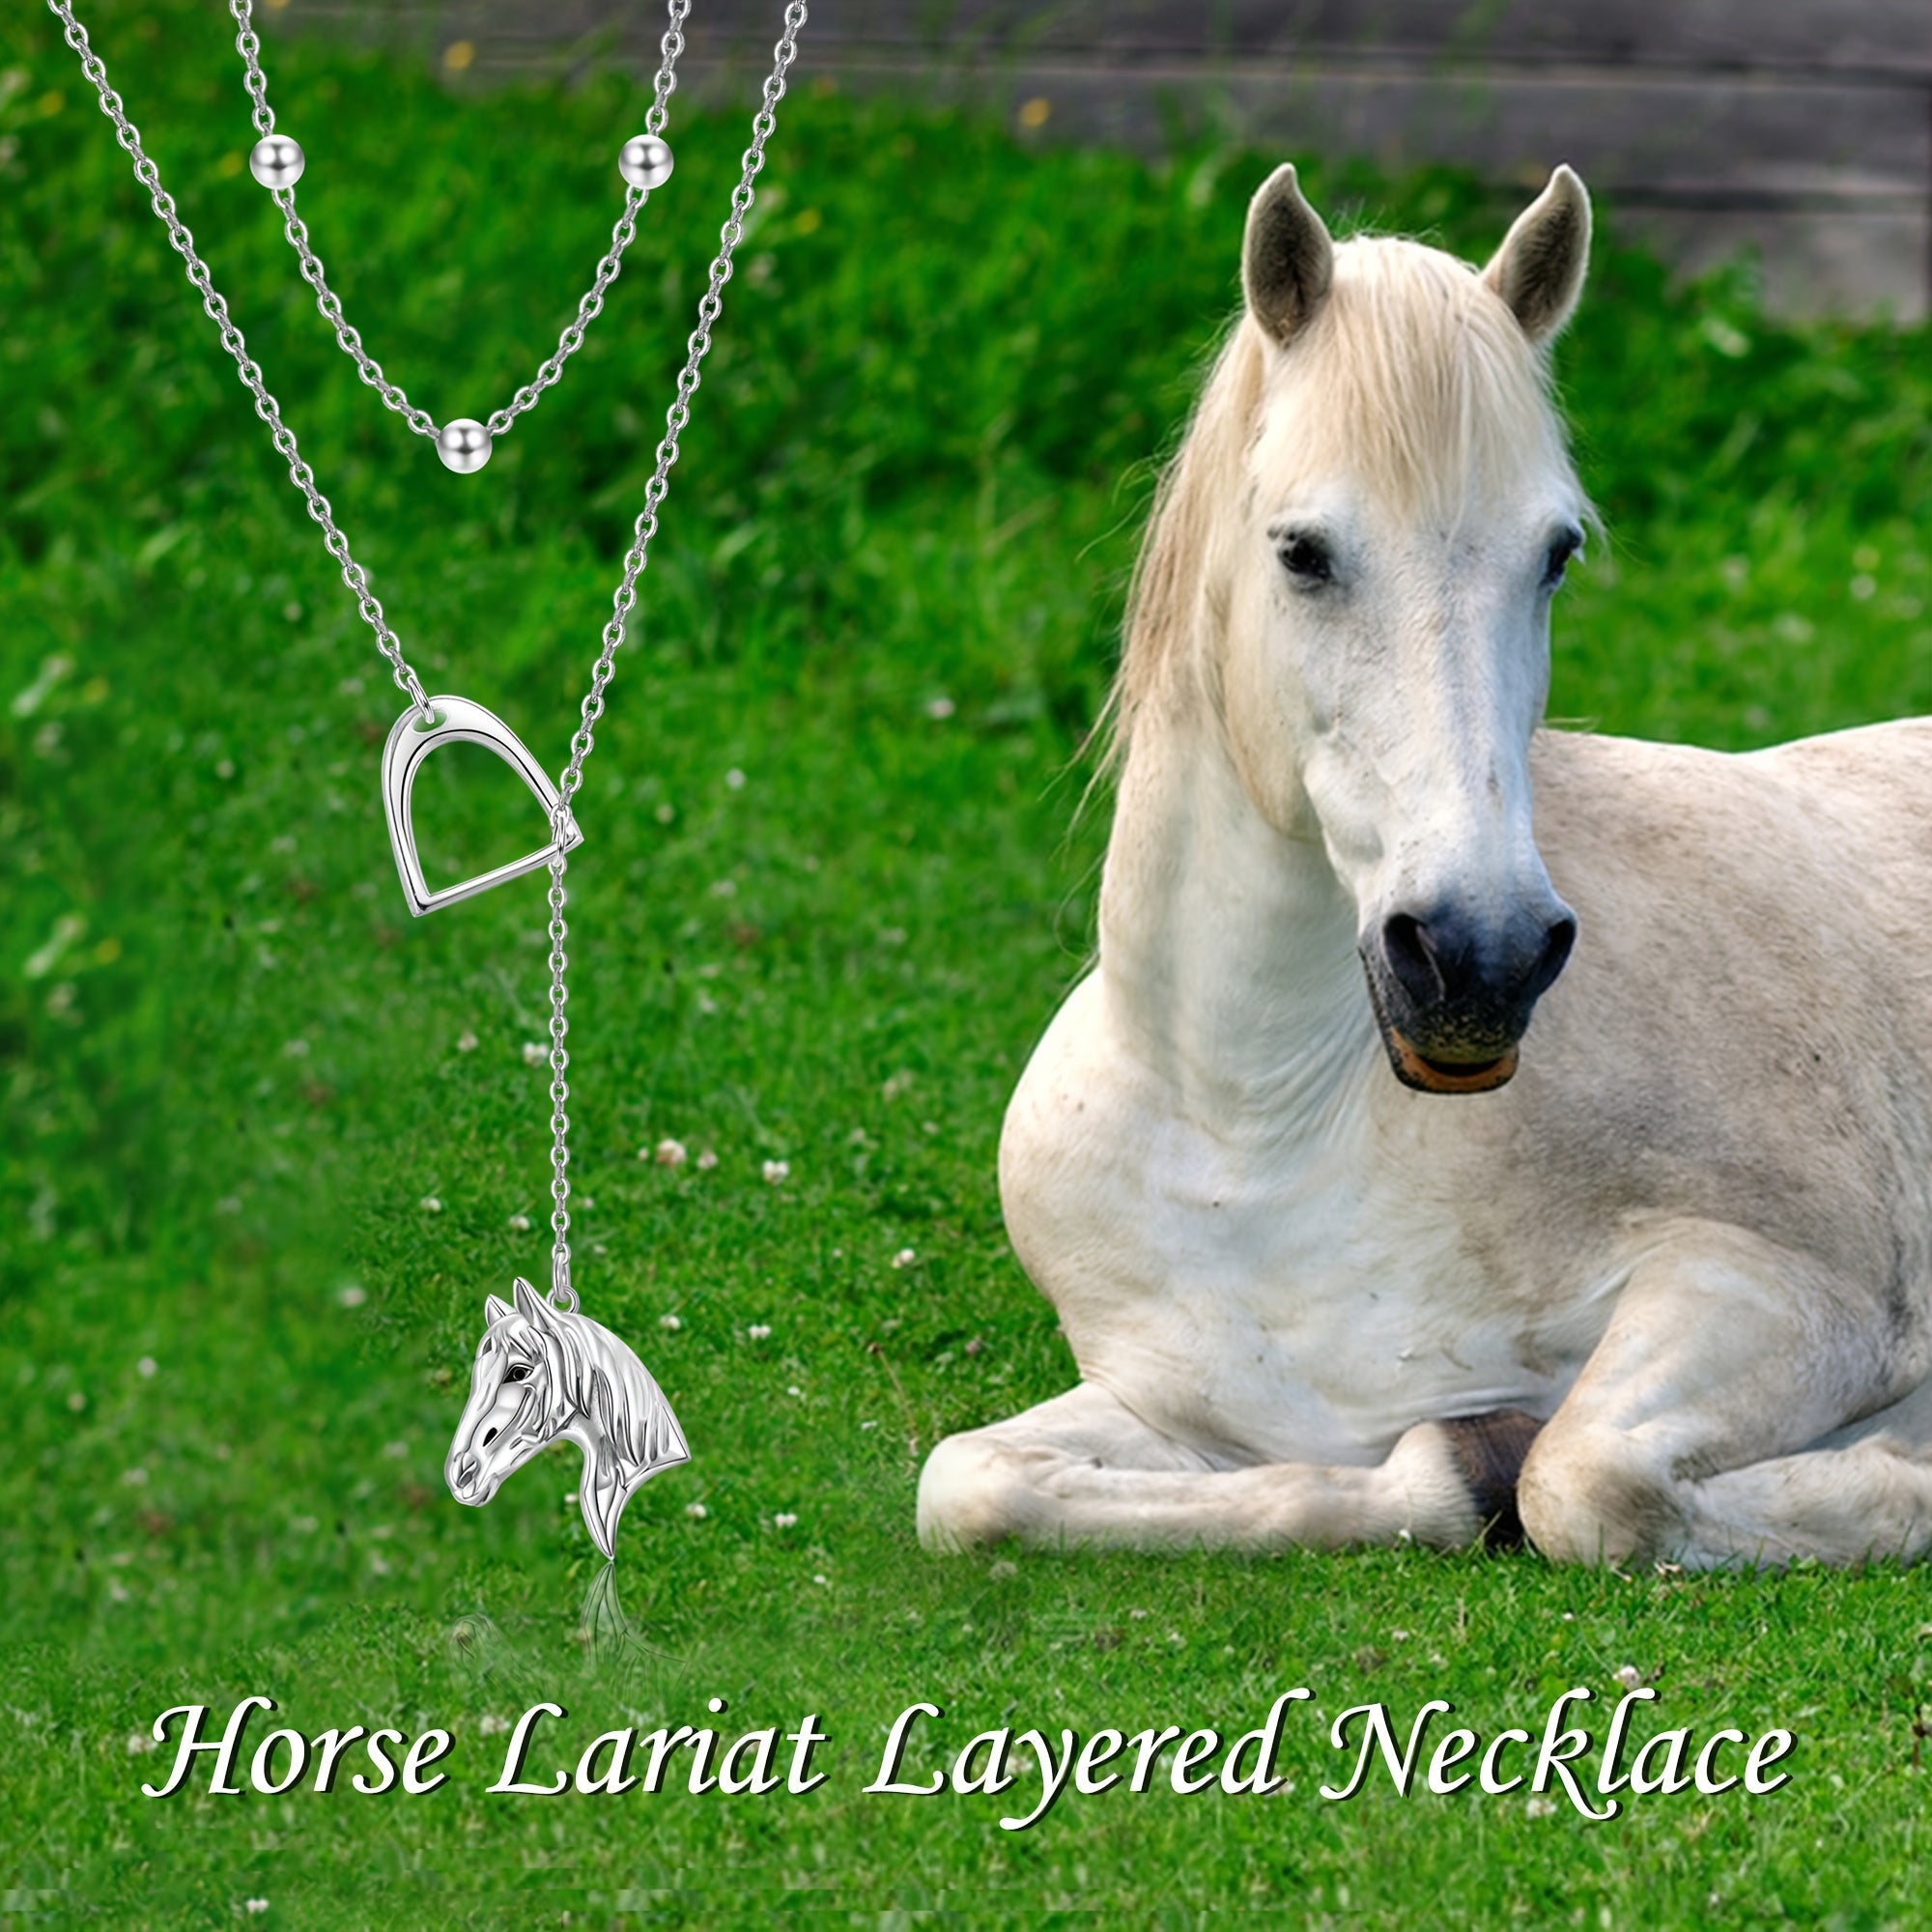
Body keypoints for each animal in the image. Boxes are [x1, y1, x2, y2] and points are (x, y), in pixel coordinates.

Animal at [916, 162, 1932, 1569]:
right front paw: (1456, 1464)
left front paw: (1899, 1472)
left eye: (1555, 551)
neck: (1256, 1130)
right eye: (1300, 550)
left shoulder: (1781, 1291)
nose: (1480, 957)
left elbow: (1585, 1480)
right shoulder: (1175, 1403)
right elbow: (971, 1483)